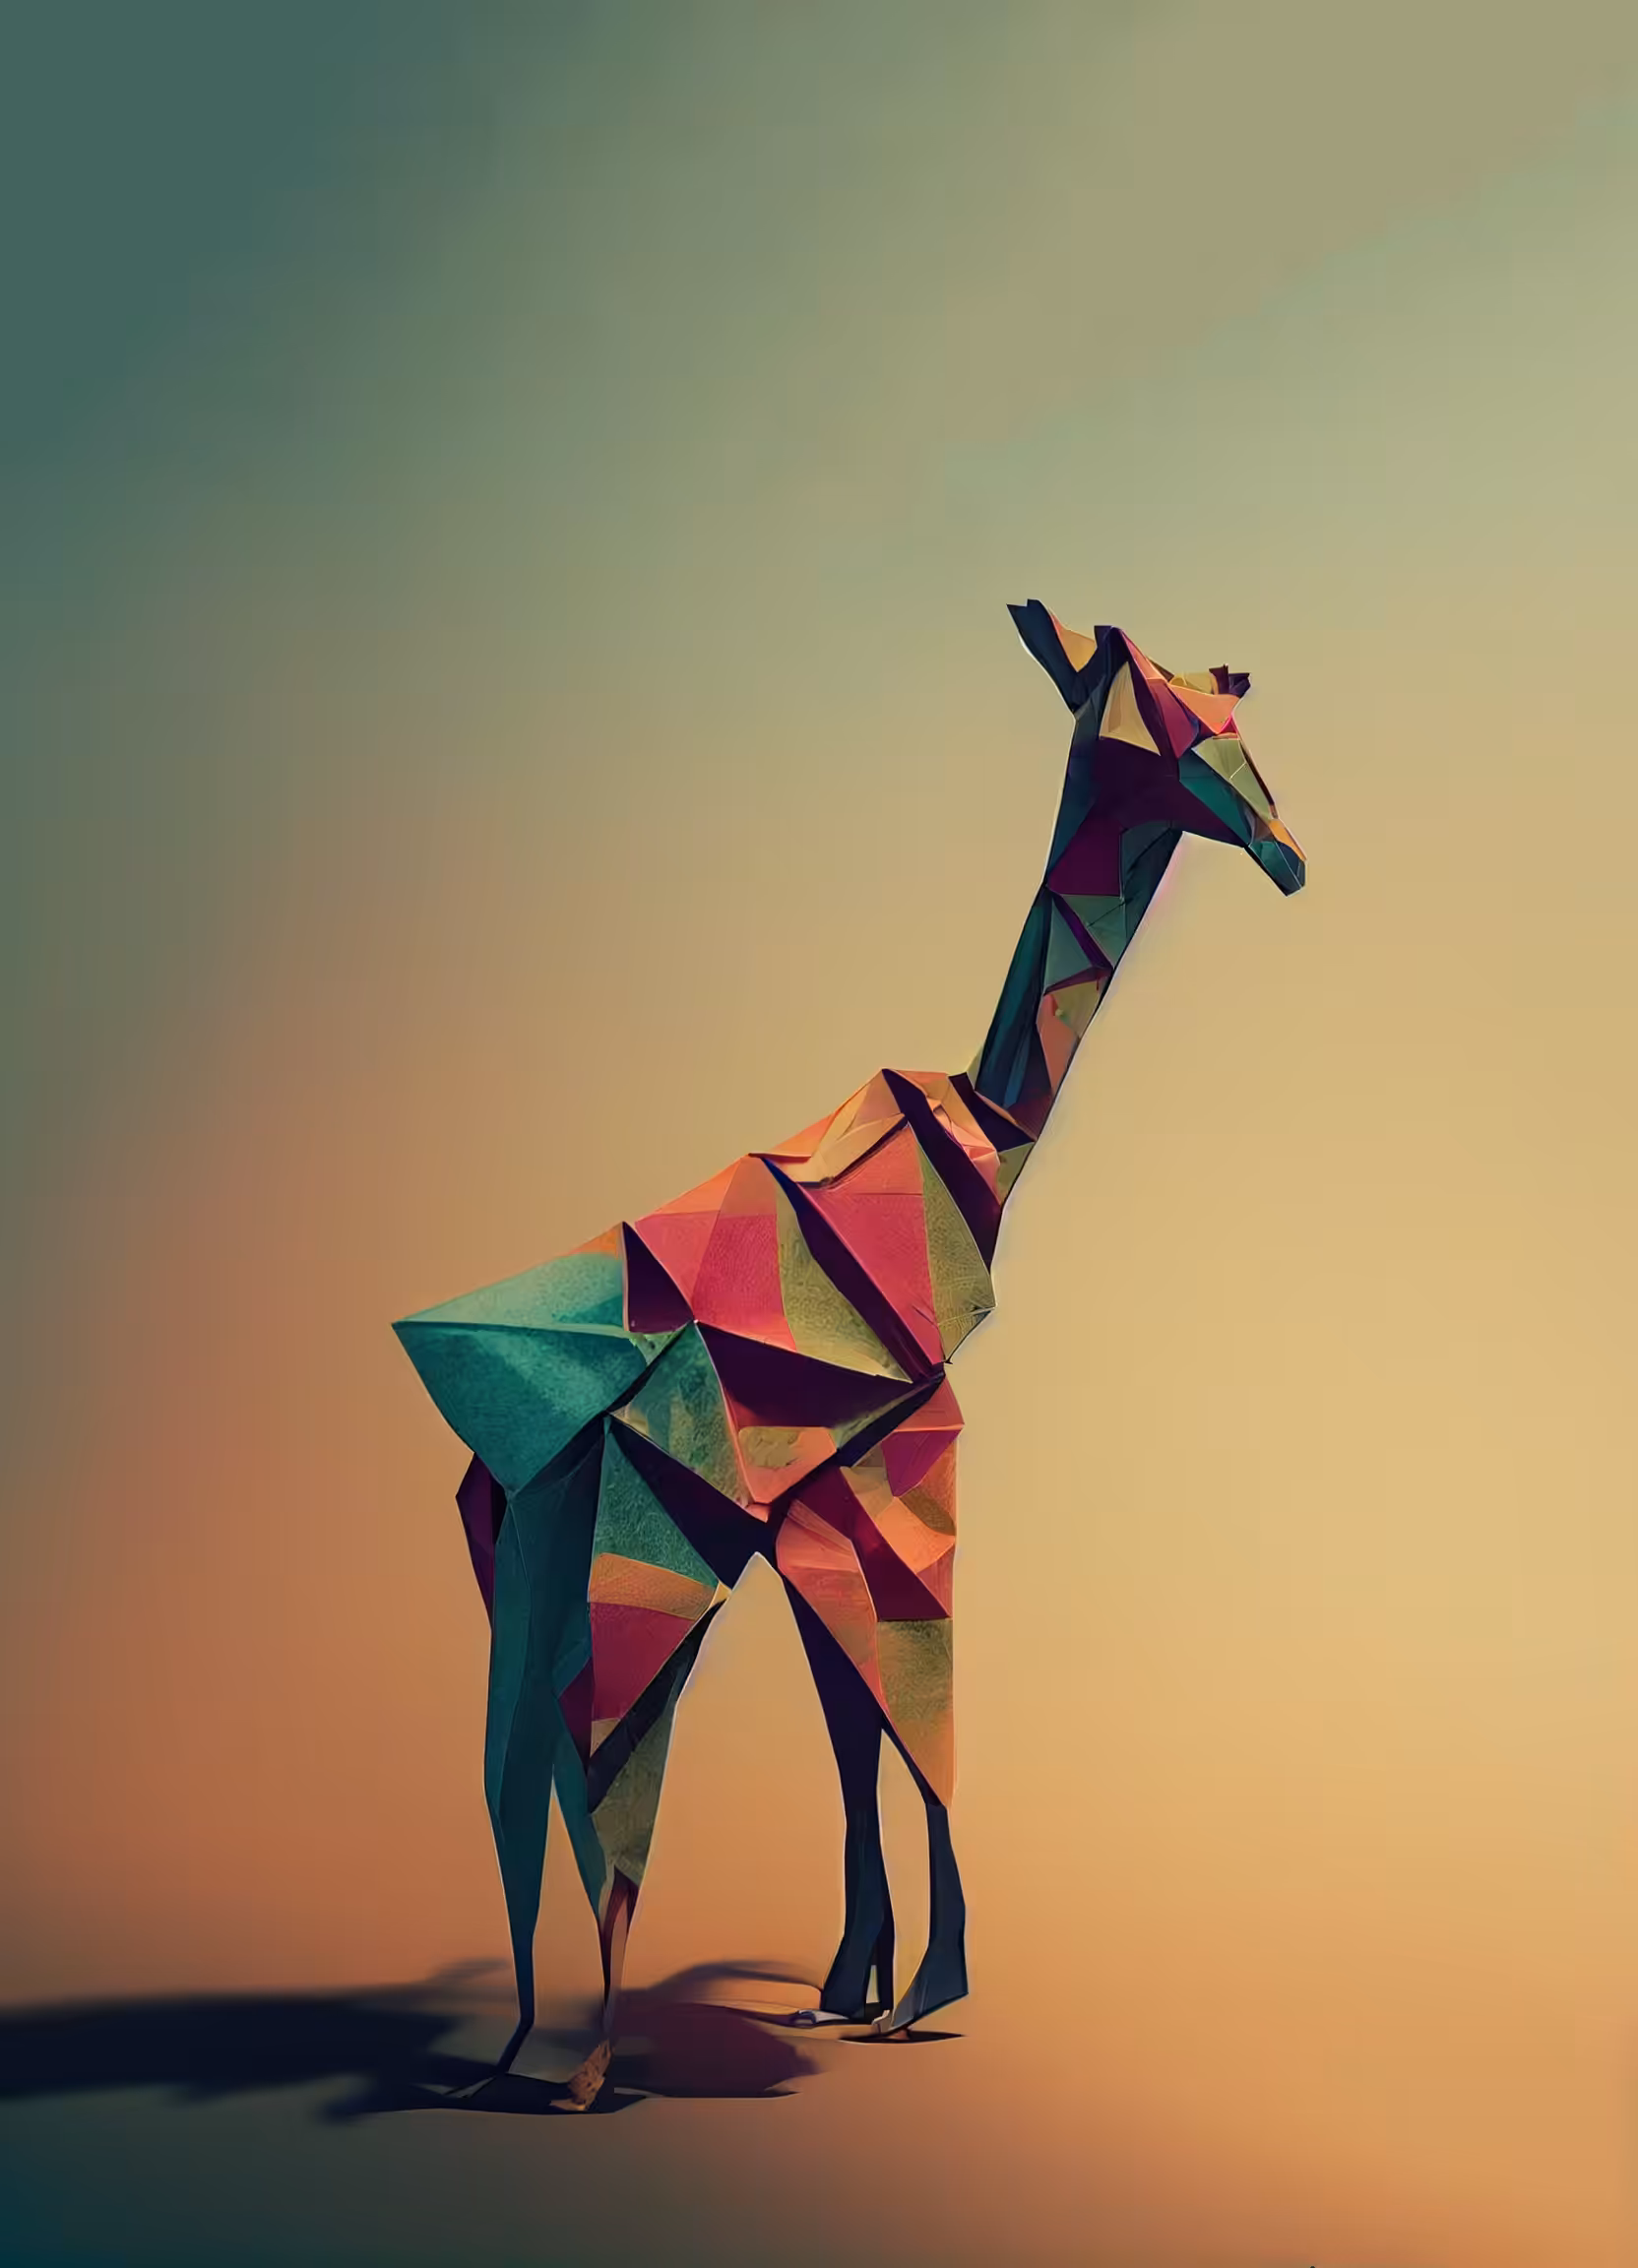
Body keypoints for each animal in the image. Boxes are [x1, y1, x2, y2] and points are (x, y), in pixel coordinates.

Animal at [395, 602, 1304, 2109]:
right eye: (1172, 728)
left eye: (1236, 723)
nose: (1291, 850)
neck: (991, 1130)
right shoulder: (909, 1466)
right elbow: (917, 1724)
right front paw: (921, 1989)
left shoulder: (816, 1514)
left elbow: (852, 1732)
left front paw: (848, 1986)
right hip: (639, 1568)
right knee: (604, 1780)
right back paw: (583, 2070)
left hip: (519, 1559)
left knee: (514, 1781)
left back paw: (510, 2059)